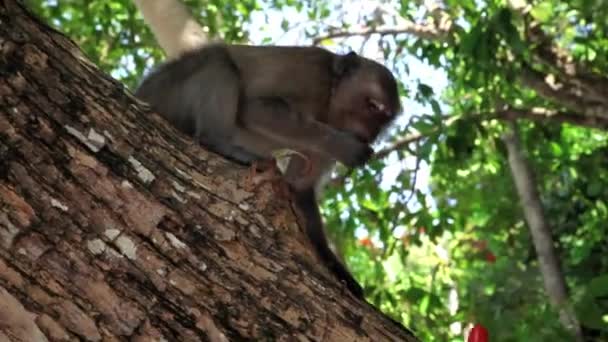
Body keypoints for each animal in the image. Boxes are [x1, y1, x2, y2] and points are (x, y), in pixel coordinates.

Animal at [131, 0, 402, 300]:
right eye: (373, 106)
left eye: (386, 118)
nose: (374, 133)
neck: (330, 102)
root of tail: (141, 94)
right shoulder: (312, 76)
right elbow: (255, 108)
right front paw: (347, 146)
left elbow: (299, 188)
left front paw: (336, 269)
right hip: (168, 91)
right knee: (219, 61)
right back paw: (219, 142)